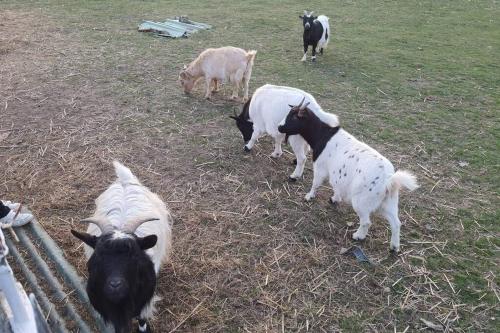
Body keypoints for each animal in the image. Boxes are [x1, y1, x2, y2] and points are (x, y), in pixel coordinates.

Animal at [69, 161, 173, 332]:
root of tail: (126, 181)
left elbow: (142, 317)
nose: (115, 285)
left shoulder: (144, 297)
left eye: (135, 256)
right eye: (97, 257)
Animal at [278, 98, 418, 249]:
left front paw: (309, 196)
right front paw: (334, 198)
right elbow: (336, 186)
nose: (279, 127)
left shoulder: (321, 167)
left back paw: (358, 236)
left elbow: (316, 183)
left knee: (366, 221)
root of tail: (388, 180)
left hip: (362, 201)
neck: (323, 135)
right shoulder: (337, 174)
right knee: (396, 223)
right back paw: (394, 247)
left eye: (294, 117)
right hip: (390, 201)